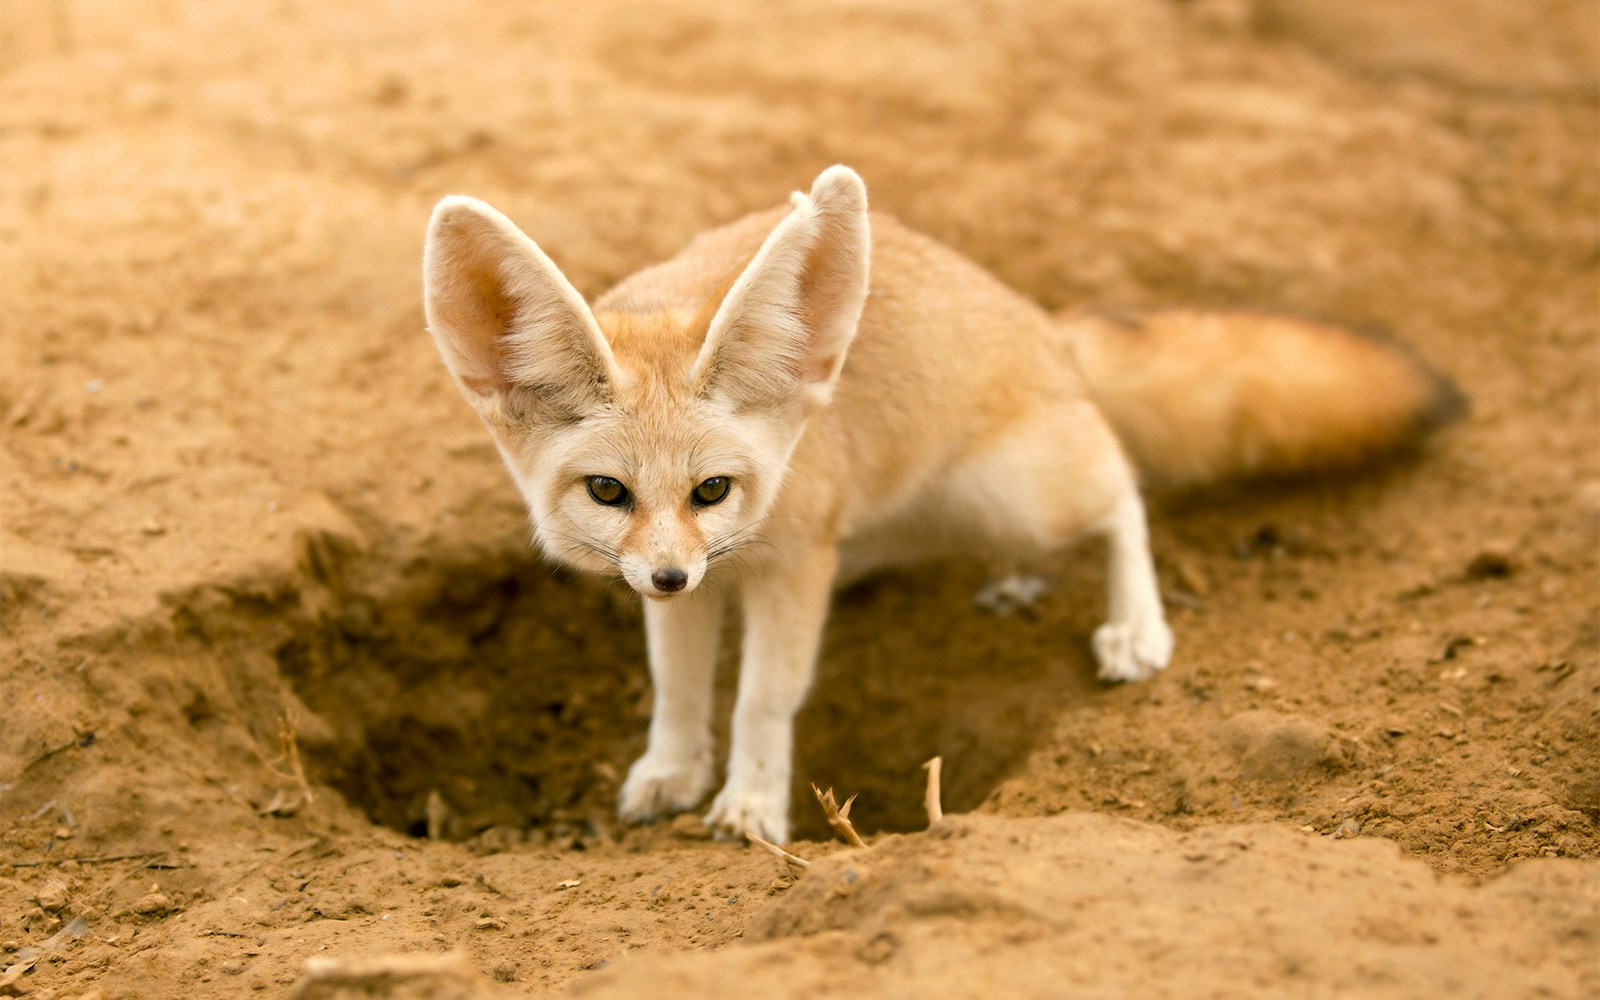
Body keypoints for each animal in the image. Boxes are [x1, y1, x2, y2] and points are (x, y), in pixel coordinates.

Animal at [421, 166, 1461, 843]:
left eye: (712, 489)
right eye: (609, 492)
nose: (672, 575)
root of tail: (1048, 328)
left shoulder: (792, 564)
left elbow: (763, 697)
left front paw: (752, 803)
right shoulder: (702, 582)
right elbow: (677, 687)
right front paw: (672, 771)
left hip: (1018, 491)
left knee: (1122, 489)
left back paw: (1135, 625)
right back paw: (1016, 583)